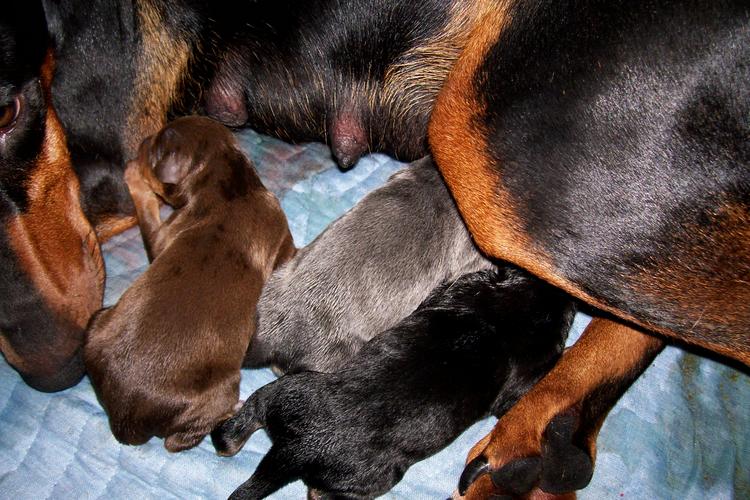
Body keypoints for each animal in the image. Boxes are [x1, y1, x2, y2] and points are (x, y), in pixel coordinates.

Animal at [83, 117, 294, 454]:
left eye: (152, 148)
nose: (140, 146)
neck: (228, 184)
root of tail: (125, 421)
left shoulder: (165, 235)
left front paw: (133, 174)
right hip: (221, 386)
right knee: (176, 441)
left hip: (96, 321)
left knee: (173, 443)